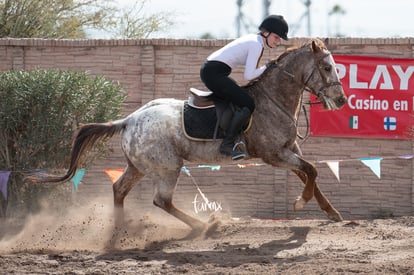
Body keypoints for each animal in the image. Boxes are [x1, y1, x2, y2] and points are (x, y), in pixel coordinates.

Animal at [35, 38, 348, 237]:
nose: (342, 100)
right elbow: (312, 171)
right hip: (168, 167)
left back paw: (121, 231)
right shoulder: (274, 155)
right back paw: (202, 226)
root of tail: (128, 120)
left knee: (119, 190)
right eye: (327, 67)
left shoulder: (288, 149)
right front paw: (299, 203)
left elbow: (309, 174)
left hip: (139, 166)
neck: (274, 100)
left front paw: (332, 213)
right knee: (161, 201)